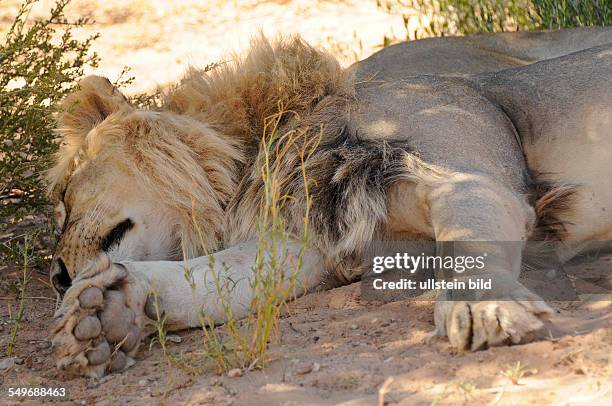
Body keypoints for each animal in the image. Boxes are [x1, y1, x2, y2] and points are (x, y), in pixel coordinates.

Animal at [47, 28, 612, 378]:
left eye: (63, 196)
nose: (55, 276)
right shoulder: (303, 241)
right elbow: (203, 281)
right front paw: (105, 310)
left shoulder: (467, 171)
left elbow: (468, 237)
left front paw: (484, 307)